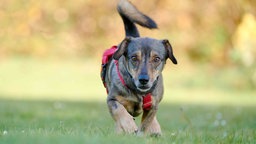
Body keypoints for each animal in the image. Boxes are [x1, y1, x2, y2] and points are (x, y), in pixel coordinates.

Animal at [101, 0, 177, 136]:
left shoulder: (153, 106)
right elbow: (120, 111)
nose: (143, 80)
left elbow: (146, 124)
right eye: (134, 58)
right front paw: (129, 127)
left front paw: (141, 135)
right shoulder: (112, 100)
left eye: (157, 59)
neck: (139, 93)